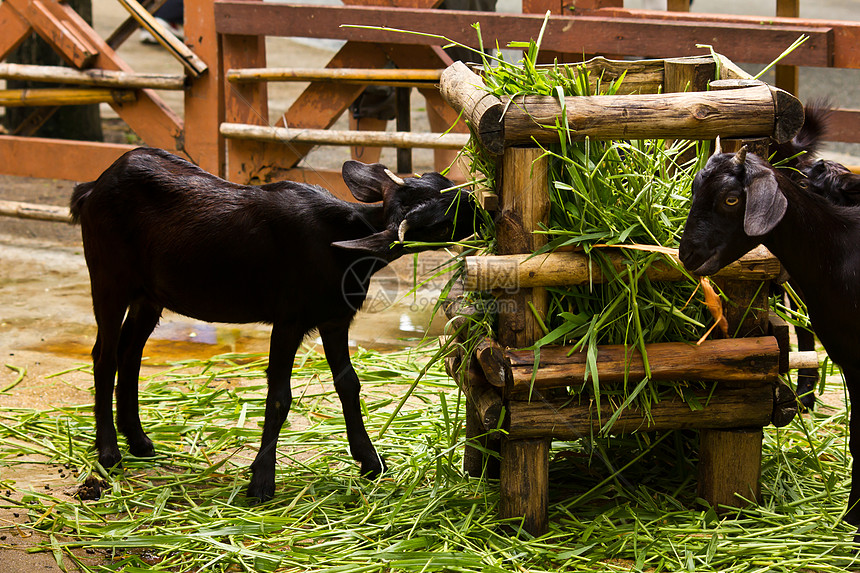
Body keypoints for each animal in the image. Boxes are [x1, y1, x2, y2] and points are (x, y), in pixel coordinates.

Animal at [71, 147, 478, 500]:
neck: (340, 244)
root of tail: (91, 188)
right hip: (108, 278)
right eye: (442, 220)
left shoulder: (334, 318)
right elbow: (280, 395)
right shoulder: (289, 319)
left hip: (149, 294)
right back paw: (109, 452)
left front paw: (370, 462)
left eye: (440, 180)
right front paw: (262, 482)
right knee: (104, 356)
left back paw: (139, 441)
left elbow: (349, 384)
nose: (481, 206)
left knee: (130, 353)